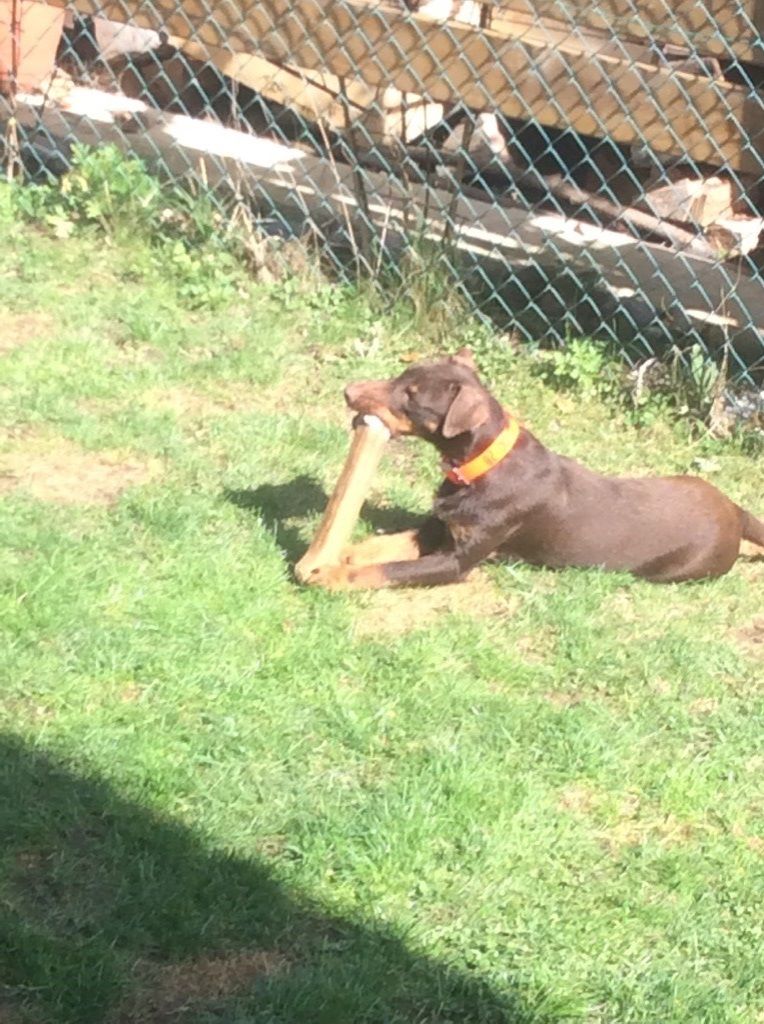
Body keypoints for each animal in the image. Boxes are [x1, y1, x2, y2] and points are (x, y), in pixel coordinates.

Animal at [305, 348, 761, 589]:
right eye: (402, 376)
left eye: (411, 397)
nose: (348, 391)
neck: (478, 467)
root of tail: (735, 511)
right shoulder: (440, 528)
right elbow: (385, 545)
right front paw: (342, 553)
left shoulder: (457, 561)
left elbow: (388, 569)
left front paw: (330, 573)